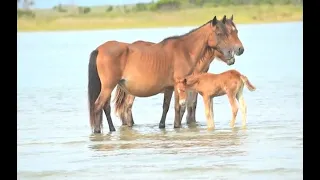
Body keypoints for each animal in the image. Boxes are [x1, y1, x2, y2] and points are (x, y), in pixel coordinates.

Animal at [89, 15, 244, 133]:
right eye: (220, 33)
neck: (185, 50)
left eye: (233, 32)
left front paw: (163, 126)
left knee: (106, 107)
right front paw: (177, 126)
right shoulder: (180, 84)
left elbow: (167, 107)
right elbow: (180, 107)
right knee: (99, 106)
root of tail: (99, 49)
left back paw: (111, 129)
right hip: (109, 86)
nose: (235, 52)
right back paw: (97, 131)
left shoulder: (169, 87)